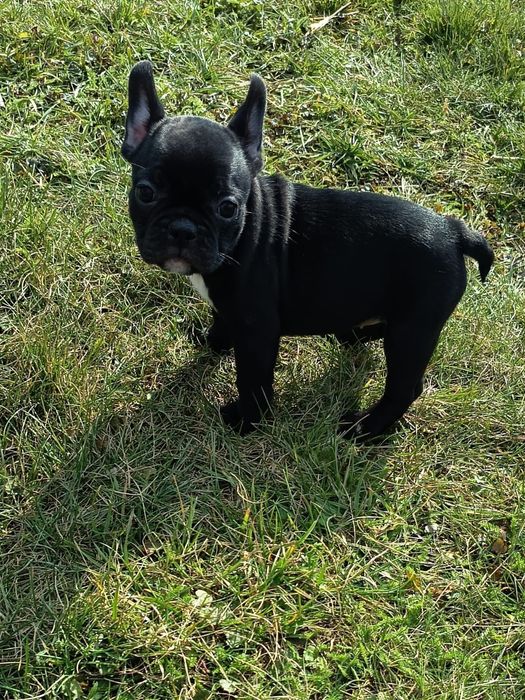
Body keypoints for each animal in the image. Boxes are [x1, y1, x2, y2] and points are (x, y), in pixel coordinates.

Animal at [121, 61, 494, 440]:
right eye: (145, 192)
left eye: (227, 208)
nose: (183, 229)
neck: (243, 234)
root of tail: (454, 231)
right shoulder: (227, 308)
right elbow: (220, 324)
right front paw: (211, 343)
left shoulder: (257, 330)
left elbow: (252, 380)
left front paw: (248, 420)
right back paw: (353, 335)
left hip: (413, 329)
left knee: (405, 387)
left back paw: (365, 428)